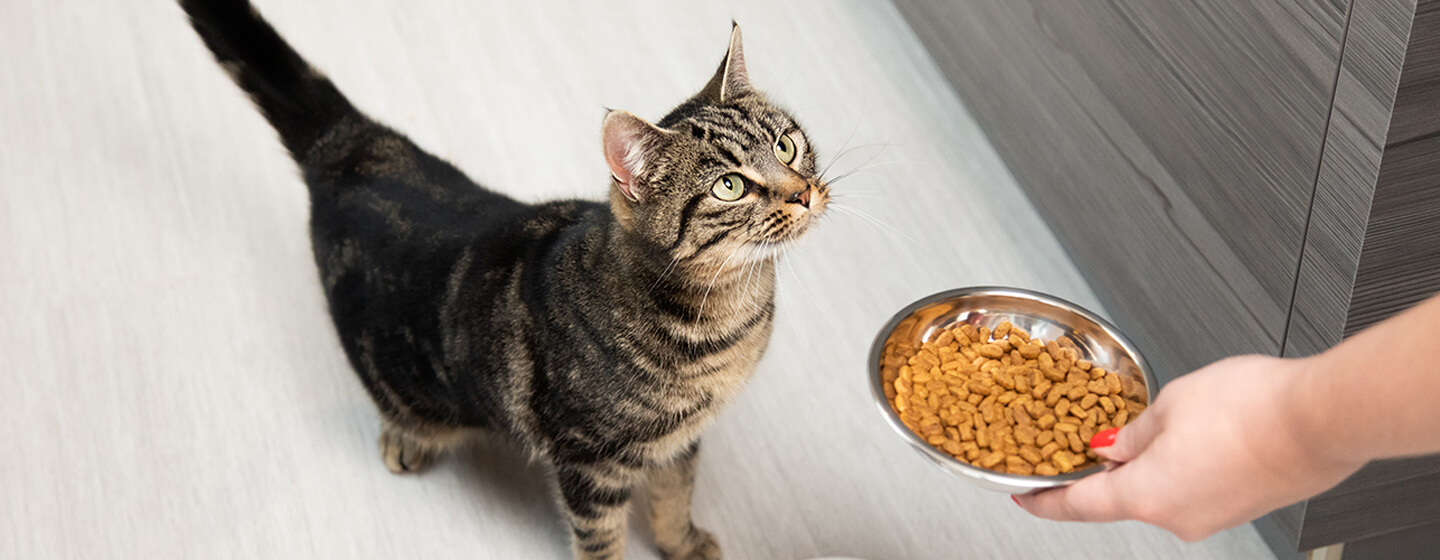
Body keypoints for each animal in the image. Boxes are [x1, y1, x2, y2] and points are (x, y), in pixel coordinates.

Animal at [181, 2, 835, 555]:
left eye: (787, 144)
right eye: (730, 185)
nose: (803, 192)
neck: (731, 315)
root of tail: (355, 147)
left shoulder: (681, 441)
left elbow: (674, 499)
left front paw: (682, 543)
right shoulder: (592, 468)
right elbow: (603, 543)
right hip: (405, 380)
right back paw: (402, 439)